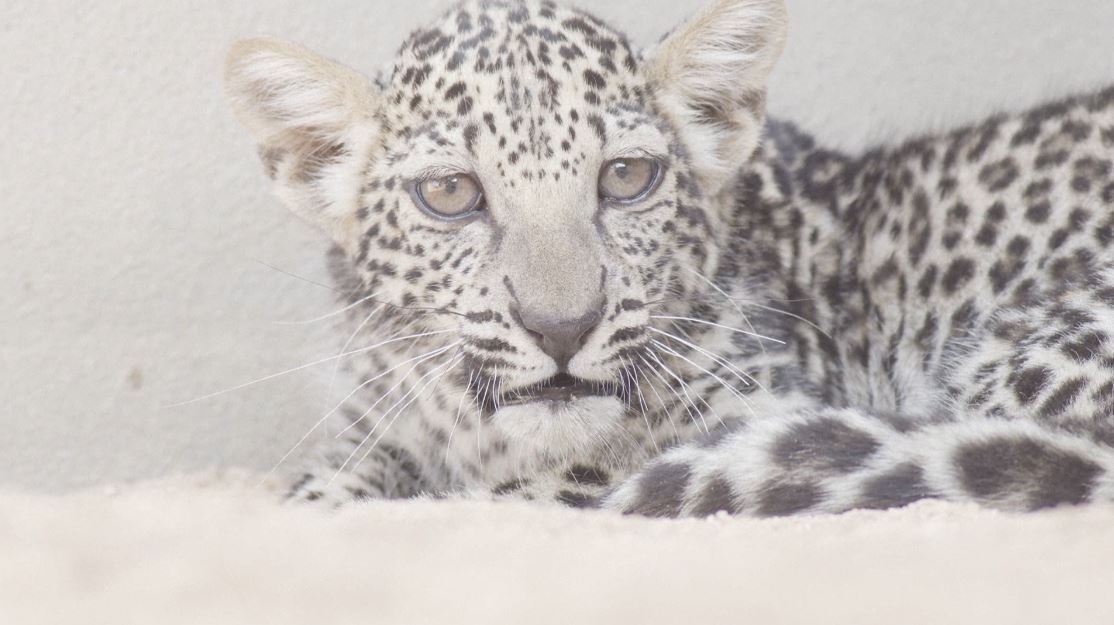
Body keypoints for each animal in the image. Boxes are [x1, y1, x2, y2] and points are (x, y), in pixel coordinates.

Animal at [221, 1, 1114, 516]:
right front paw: (327, 493)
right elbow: (343, 474)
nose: (562, 327)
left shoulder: (763, 410)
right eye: (449, 193)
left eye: (626, 177)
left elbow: (544, 486)